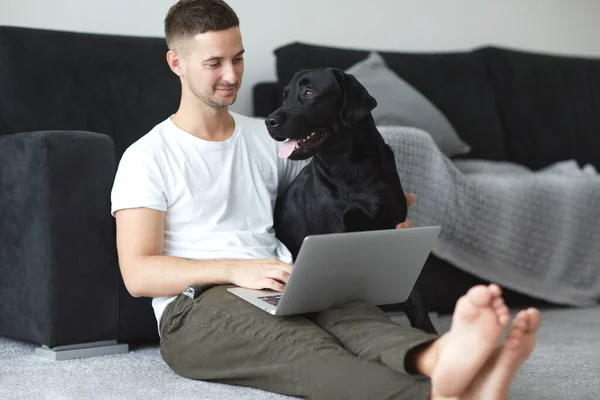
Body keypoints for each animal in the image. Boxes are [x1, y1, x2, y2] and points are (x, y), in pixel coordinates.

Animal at [268, 67, 436, 332]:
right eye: (285, 95)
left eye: (308, 92)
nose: (269, 121)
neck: (352, 168)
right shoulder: (333, 232)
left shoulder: (398, 231)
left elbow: (416, 300)